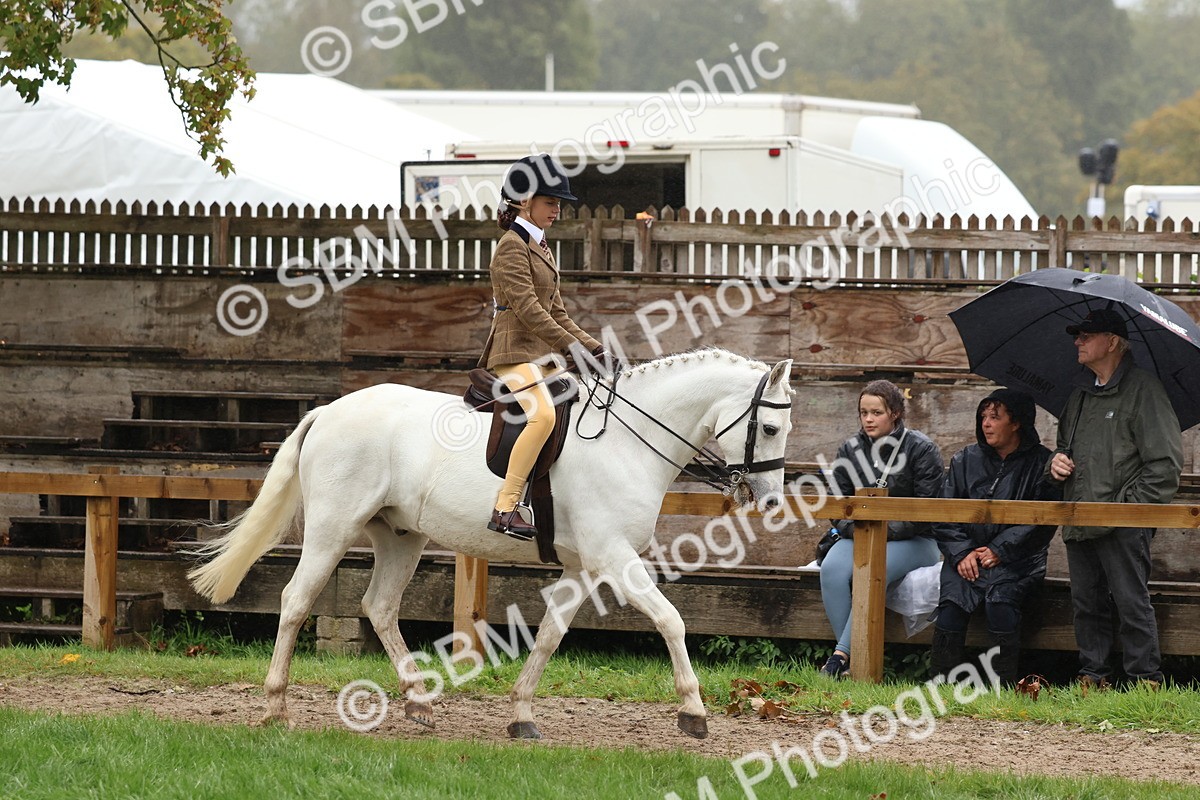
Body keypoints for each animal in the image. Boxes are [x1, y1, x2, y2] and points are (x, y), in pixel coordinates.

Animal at [187, 348, 794, 740]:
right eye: (769, 428)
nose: (767, 498)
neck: (628, 440)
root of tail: (330, 409)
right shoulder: (614, 558)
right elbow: (672, 620)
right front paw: (694, 712)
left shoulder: (584, 566)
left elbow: (549, 636)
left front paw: (521, 715)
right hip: (333, 529)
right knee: (296, 601)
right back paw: (276, 709)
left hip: (402, 536)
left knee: (379, 607)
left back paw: (419, 703)